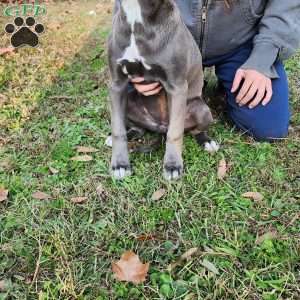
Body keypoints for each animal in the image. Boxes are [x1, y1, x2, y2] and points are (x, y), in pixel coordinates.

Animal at [107, 0, 218, 180]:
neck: (136, 14)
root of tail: (160, 127)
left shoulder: (177, 86)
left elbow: (175, 133)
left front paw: (172, 166)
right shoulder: (117, 84)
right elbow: (118, 129)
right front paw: (120, 164)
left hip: (200, 108)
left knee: (192, 129)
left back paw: (206, 140)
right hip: (128, 100)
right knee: (137, 129)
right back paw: (129, 133)